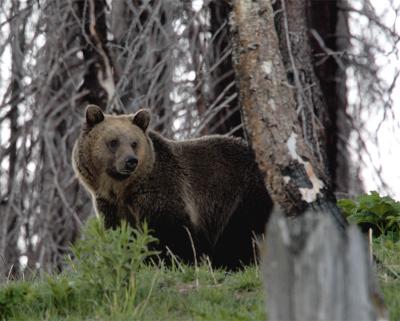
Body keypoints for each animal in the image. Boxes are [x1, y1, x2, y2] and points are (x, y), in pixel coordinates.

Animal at [72, 104, 272, 268]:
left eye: (134, 143)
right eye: (113, 142)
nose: (131, 161)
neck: (123, 189)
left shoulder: (162, 192)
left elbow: (173, 234)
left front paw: (171, 260)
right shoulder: (110, 205)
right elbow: (120, 233)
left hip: (242, 194)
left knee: (242, 234)